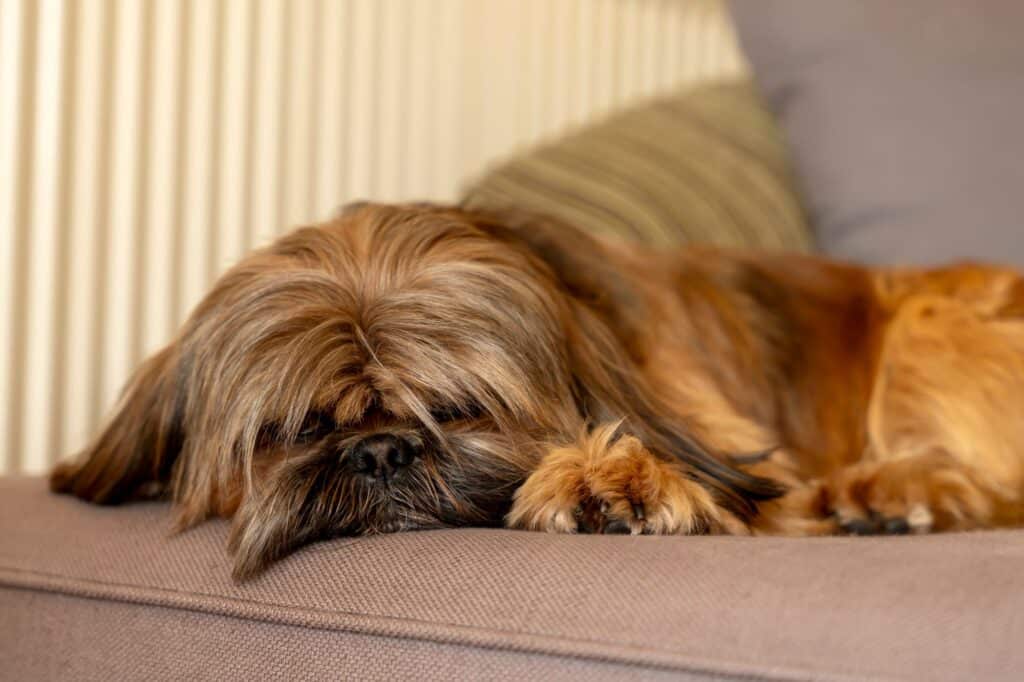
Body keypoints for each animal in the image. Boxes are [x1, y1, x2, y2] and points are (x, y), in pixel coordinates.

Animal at [48, 202, 1024, 577]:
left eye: (458, 408)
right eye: (297, 426)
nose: (380, 451)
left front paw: (613, 477)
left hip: (929, 325)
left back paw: (892, 494)